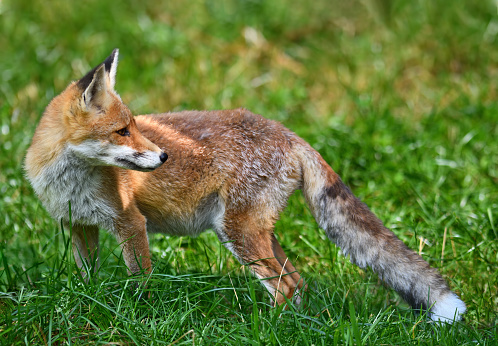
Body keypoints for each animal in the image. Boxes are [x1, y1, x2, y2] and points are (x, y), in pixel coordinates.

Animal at [25, 50, 464, 324]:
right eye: (121, 131)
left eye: (134, 126)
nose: (164, 156)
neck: (71, 183)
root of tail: (288, 132)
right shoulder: (79, 225)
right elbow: (88, 278)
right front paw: (90, 303)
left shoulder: (130, 223)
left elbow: (141, 280)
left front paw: (138, 312)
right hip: (254, 233)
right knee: (298, 283)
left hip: (236, 232)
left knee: (285, 286)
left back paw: (271, 329)